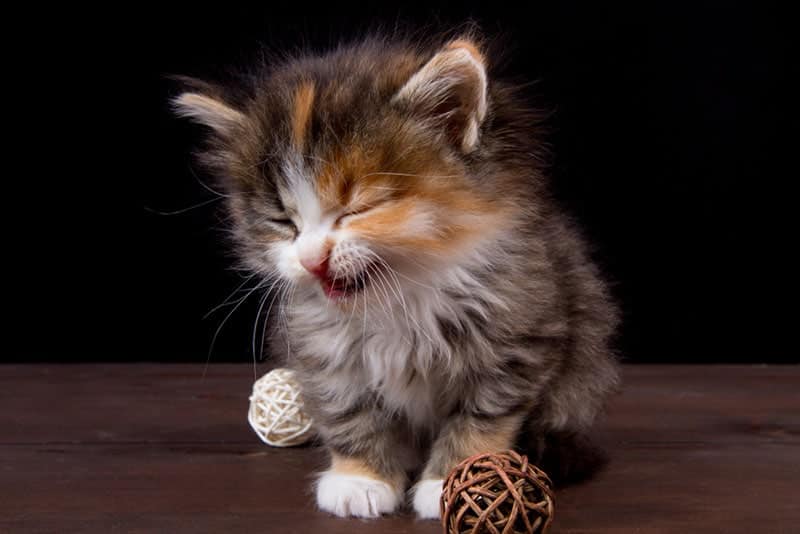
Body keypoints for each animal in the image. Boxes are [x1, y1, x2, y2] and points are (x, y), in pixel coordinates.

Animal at [173, 32, 620, 520]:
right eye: (283, 221)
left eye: (358, 208)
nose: (310, 259)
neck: (401, 296)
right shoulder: (319, 346)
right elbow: (348, 412)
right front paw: (360, 478)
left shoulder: (518, 332)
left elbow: (482, 416)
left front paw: (455, 480)